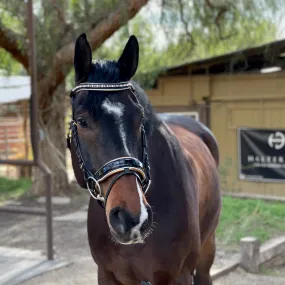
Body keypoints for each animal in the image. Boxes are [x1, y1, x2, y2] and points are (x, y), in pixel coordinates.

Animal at [67, 32, 222, 282]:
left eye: (139, 117)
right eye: (81, 121)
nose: (132, 219)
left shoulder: (179, 275)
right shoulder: (106, 274)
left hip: (207, 248)